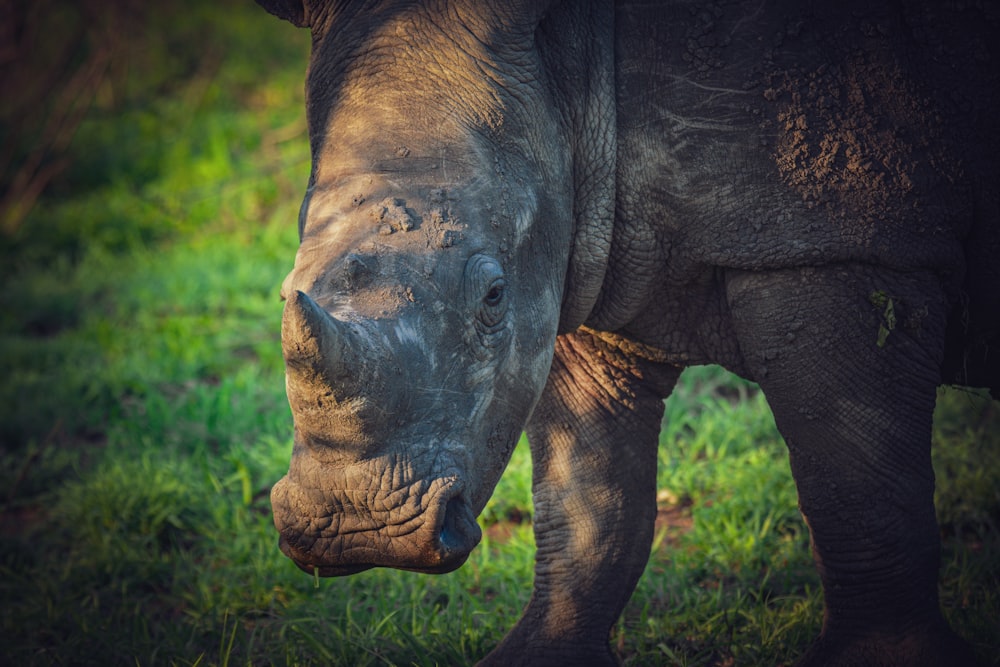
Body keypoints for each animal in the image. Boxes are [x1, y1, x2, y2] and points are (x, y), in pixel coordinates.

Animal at [254, 2, 996, 664]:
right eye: (288, 290)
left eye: (492, 297)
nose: (355, 532)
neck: (575, 74)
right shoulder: (570, 256)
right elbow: (590, 497)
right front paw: (540, 656)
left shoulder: (835, 244)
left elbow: (854, 476)